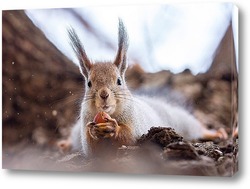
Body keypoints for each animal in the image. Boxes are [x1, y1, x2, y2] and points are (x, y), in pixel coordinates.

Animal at [58, 19, 227, 158]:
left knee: (194, 126)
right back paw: (65, 143)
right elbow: (91, 149)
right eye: (89, 83)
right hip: (76, 132)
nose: (104, 95)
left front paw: (113, 127)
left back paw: (214, 133)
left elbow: (129, 137)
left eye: (119, 81)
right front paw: (93, 131)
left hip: (179, 120)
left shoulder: (137, 125)